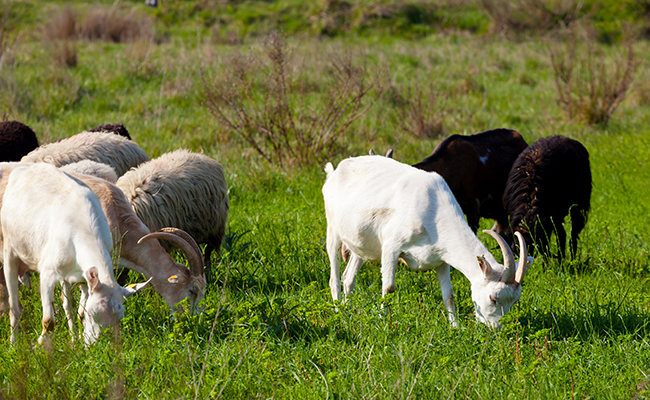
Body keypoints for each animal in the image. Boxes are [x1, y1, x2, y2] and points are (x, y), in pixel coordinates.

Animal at [1, 162, 148, 346]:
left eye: (119, 318)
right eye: (93, 314)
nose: (100, 345)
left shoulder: (82, 277)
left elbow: (78, 311)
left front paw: (78, 341)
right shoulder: (47, 273)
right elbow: (49, 322)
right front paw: (37, 346)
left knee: (67, 305)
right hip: (9, 252)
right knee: (14, 306)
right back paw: (13, 344)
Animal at [322, 155, 528, 328]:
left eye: (514, 301)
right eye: (493, 298)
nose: (496, 328)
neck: (433, 212)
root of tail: (335, 171)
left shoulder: (442, 259)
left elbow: (448, 295)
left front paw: (455, 327)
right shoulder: (391, 247)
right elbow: (388, 288)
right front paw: (383, 323)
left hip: (362, 245)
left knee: (348, 277)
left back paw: (348, 311)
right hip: (332, 230)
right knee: (334, 277)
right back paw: (338, 311)